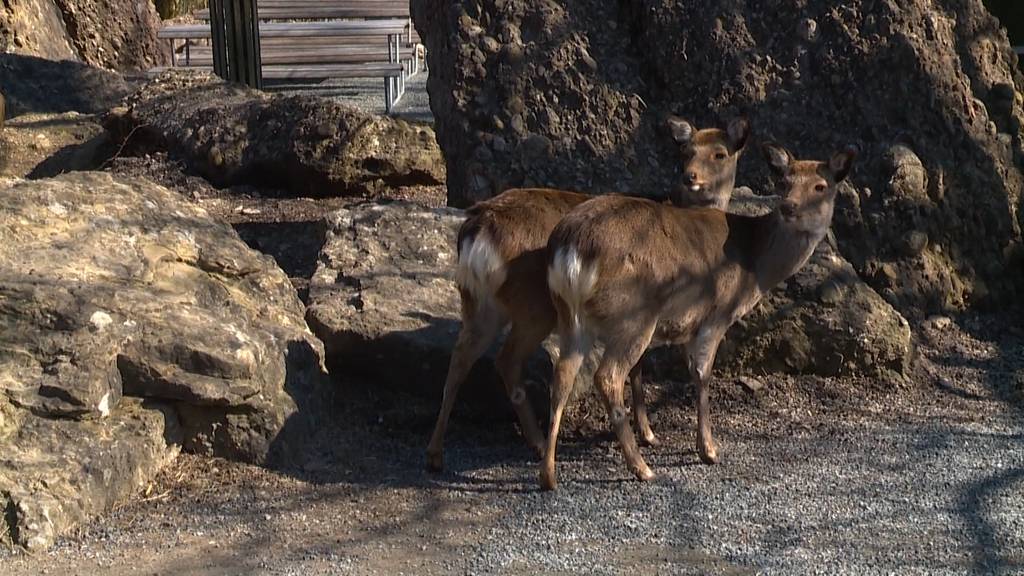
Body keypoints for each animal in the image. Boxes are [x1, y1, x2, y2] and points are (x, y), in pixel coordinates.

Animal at [423, 114, 753, 469]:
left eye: (720, 154)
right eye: (687, 151)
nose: (690, 176)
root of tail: (478, 231)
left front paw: (645, 432)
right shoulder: (641, 310)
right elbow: (637, 368)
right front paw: (648, 434)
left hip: (478, 301)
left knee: (461, 358)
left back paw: (437, 454)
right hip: (534, 305)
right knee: (506, 358)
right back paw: (538, 444)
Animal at [540, 141, 860, 485]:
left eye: (820, 186)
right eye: (784, 181)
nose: (789, 207)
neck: (755, 267)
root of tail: (572, 247)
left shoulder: (684, 324)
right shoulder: (716, 313)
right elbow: (702, 374)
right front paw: (708, 450)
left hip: (569, 314)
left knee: (562, 375)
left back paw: (548, 475)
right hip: (633, 313)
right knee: (607, 375)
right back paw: (642, 468)